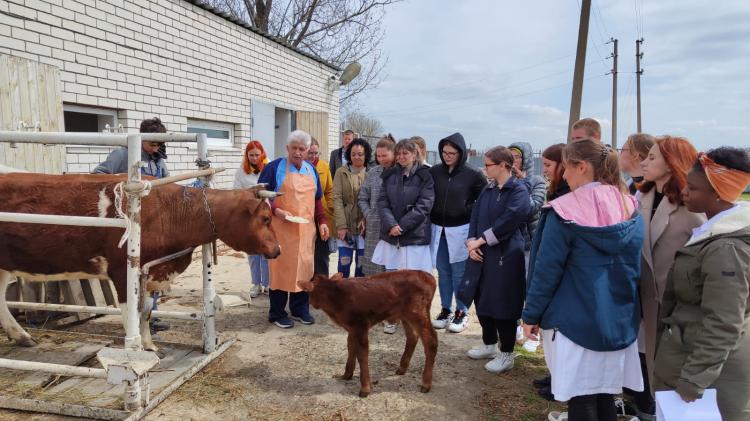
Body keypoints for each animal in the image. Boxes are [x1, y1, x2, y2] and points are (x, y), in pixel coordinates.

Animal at [0, 172, 280, 350]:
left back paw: (20, 335)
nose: (277, 250)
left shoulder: (152, 271)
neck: (171, 210)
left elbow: (145, 311)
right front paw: (139, 353)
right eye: (266, 218)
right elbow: (132, 313)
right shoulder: (123, 273)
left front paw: (149, 345)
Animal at [300, 270, 440, 398]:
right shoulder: (352, 328)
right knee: (412, 337)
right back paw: (402, 368)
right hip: (405, 315)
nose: (310, 302)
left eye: (309, 293)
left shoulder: (360, 326)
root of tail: (428, 276)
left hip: (418, 313)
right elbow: (351, 347)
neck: (336, 297)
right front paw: (346, 375)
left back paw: (426, 384)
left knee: (431, 341)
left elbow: (362, 355)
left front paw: (365, 389)